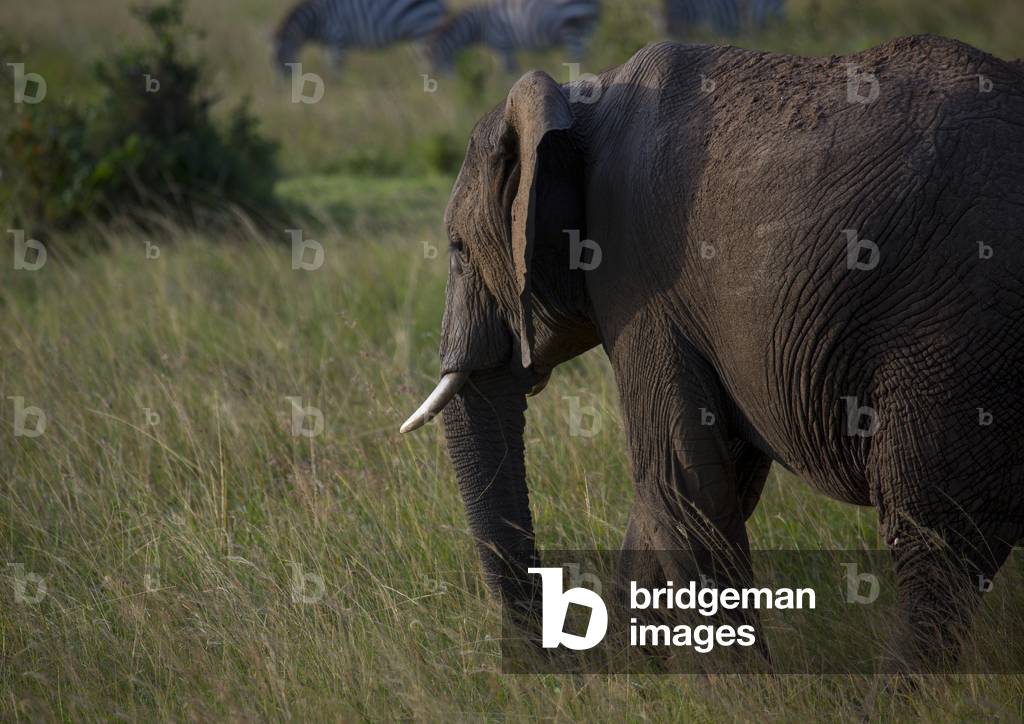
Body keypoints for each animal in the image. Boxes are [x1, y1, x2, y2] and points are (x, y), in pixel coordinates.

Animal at [400, 34, 1024, 671]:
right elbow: (700, 477)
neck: (581, 101)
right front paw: (630, 671)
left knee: (936, 538)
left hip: (954, 329)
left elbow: (679, 481)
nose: (544, 658)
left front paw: (741, 687)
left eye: (457, 248)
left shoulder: (642, 277)